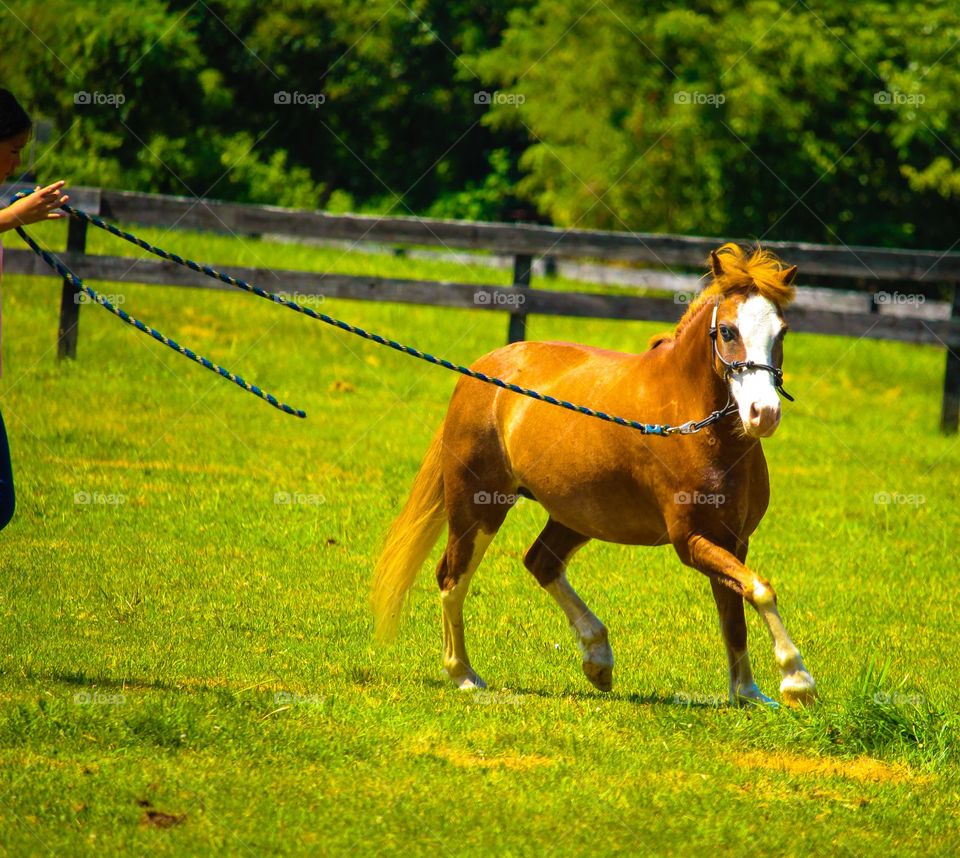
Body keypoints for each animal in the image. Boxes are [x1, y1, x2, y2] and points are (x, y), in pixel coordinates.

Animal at [376, 239, 816, 704]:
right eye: (728, 331)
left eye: (782, 331)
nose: (763, 414)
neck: (691, 424)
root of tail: (482, 370)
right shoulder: (692, 540)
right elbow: (760, 590)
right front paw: (796, 680)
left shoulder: (733, 540)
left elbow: (735, 612)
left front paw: (748, 693)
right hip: (477, 506)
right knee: (452, 577)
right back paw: (463, 673)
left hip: (575, 514)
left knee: (541, 562)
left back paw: (597, 658)